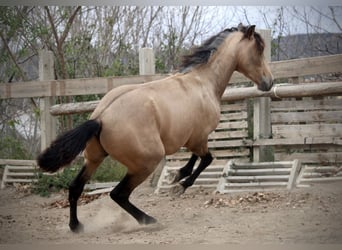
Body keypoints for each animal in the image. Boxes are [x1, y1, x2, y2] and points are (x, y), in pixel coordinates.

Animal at [36, 23, 272, 232]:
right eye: (259, 50)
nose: (269, 83)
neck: (202, 82)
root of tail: (101, 118)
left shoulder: (193, 137)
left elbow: (195, 159)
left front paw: (177, 175)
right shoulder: (198, 138)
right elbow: (206, 159)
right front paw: (179, 185)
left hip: (94, 158)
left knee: (76, 187)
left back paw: (76, 226)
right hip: (146, 163)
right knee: (118, 194)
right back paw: (149, 220)